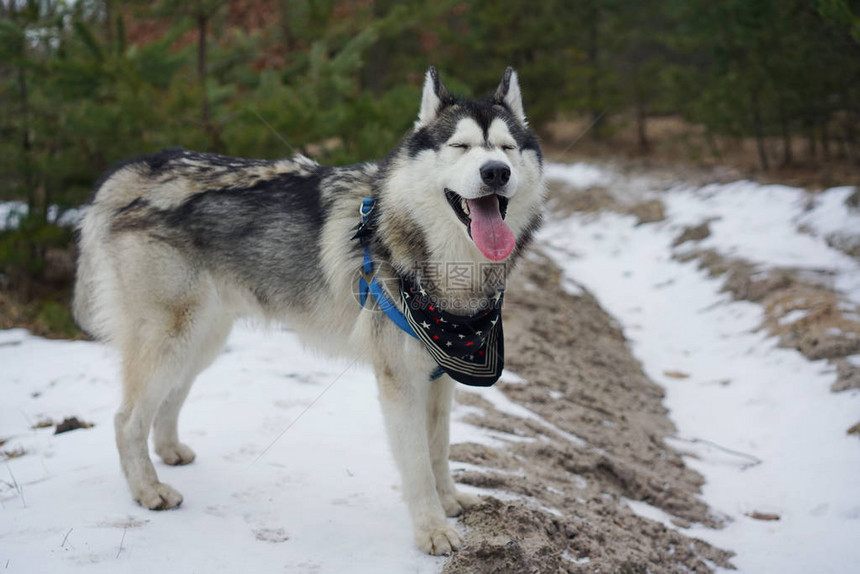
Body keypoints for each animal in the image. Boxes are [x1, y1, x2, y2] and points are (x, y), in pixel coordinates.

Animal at [75, 67, 544, 560]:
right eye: (461, 146)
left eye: (507, 148)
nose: (496, 172)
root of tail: (142, 166)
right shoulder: (400, 383)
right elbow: (418, 466)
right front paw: (433, 531)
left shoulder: (441, 379)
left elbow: (439, 451)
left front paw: (450, 502)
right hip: (172, 339)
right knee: (125, 420)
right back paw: (148, 491)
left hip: (201, 341)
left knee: (168, 400)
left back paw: (169, 453)